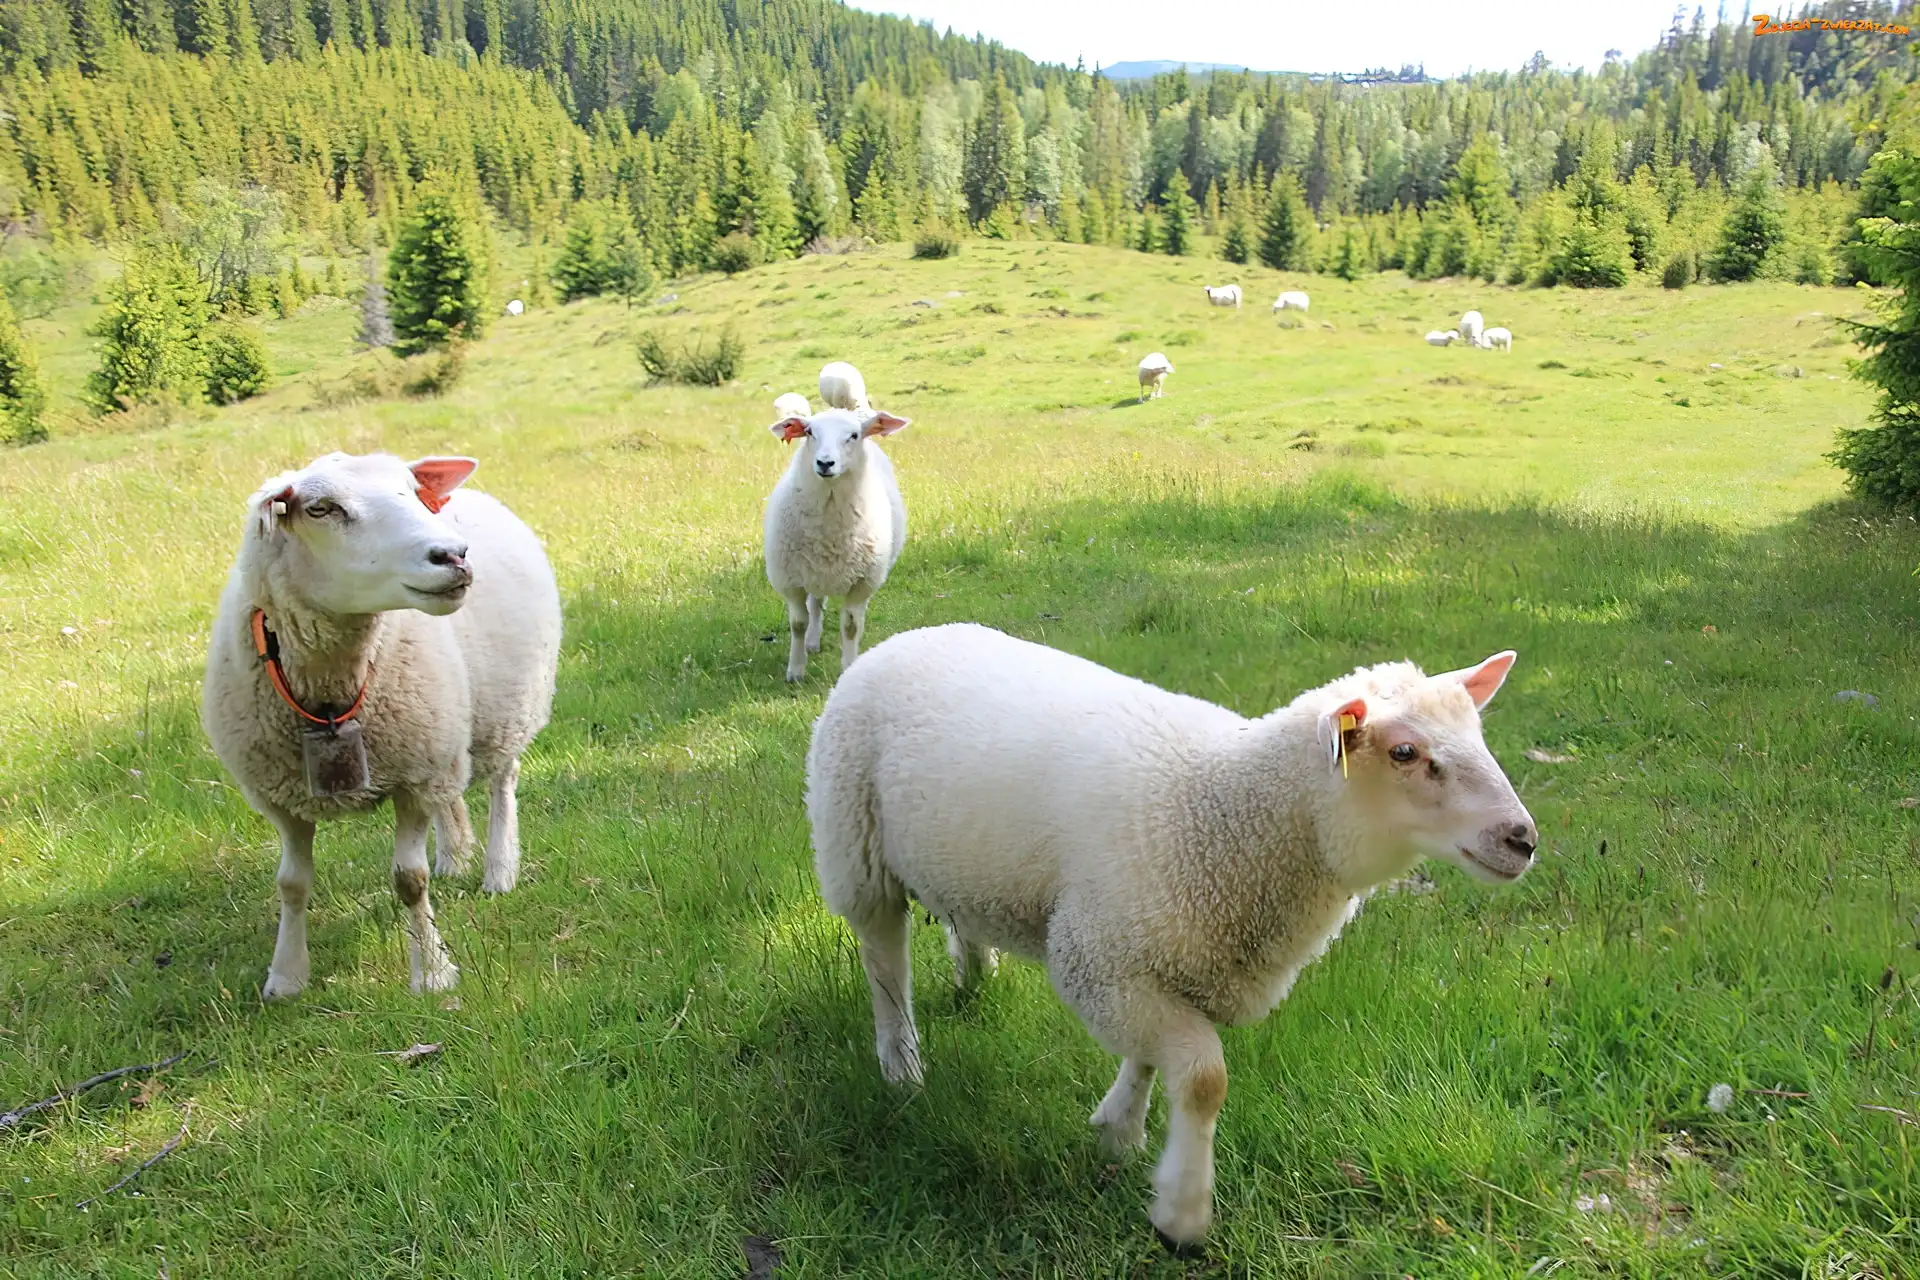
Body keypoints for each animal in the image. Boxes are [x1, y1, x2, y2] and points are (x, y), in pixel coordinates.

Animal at [202, 452, 562, 1000]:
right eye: (321, 508)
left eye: (412, 492)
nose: (453, 555)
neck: (331, 689)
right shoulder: (282, 796)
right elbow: (291, 883)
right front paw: (286, 976)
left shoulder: (415, 777)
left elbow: (410, 880)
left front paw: (432, 971)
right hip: (444, 733)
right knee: (453, 797)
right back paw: (455, 856)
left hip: (507, 708)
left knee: (503, 781)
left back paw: (499, 869)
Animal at [764, 405, 911, 683]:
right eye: (810, 432)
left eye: (854, 435)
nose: (824, 463)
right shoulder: (791, 580)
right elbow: (798, 623)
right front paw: (795, 670)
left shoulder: (863, 583)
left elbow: (851, 626)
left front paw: (848, 667)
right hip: (812, 571)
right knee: (815, 605)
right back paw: (811, 642)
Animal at [806, 623, 1535, 1249]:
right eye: (1406, 752)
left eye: (1478, 734)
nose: (1522, 839)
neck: (1223, 808)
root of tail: (909, 636)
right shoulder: (1100, 958)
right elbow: (1205, 1076)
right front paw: (1181, 1211)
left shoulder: (1167, 960)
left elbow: (1153, 1061)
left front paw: (1119, 1129)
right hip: (855, 840)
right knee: (885, 959)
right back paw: (901, 1065)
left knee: (957, 921)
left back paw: (973, 974)